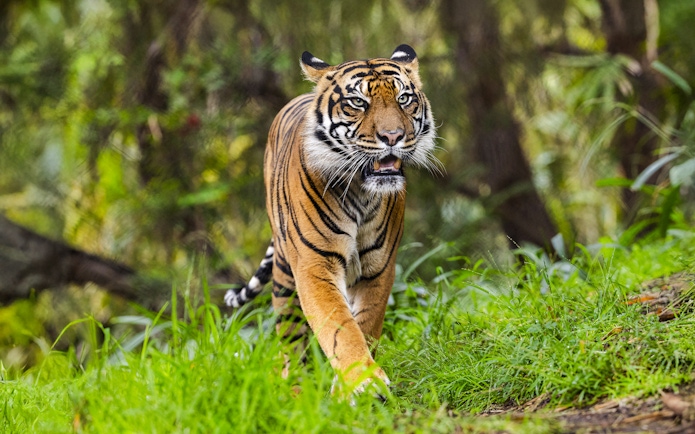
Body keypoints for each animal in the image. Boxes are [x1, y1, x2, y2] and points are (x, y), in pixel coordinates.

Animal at [224, 44, 437, 396]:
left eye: (404, 98)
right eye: (358, 102)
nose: (393, 136)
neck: (361, 193)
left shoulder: (379, 267)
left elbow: (364, 325)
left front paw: (353, 385)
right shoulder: (315, 265)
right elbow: (339, 327)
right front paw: (363, 383)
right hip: (284, 277)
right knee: (291, 339)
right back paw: (295, 389)